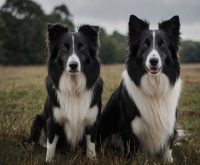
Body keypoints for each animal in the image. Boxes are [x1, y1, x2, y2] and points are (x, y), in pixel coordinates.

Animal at [30, 23, 104, 162]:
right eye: (64, 48)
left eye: (82, 48)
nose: (73, 65)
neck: (73, 85)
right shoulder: (52, 120)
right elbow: (51, 145)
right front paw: (49, 161)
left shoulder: (93, 121)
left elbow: (91, 145)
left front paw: (92, 159)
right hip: (37, 119)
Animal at [97, 15, 182, 162]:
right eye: (145, 44)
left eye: (163, 44)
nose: (153, 61)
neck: (154, 87)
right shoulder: (130, 128)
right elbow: (131, 151)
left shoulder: (169, 123)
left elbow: (167, 147)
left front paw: (168, 160)